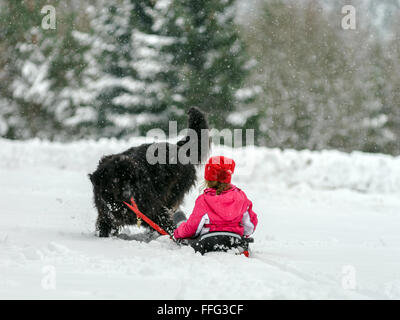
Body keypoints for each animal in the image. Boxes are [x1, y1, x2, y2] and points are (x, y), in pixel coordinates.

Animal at [88, 107, 209, 238]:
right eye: (116, 180)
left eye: (132, 181)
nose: (128, 194)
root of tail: (179, 148)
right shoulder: (106, 215)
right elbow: (104, 227)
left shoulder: (155, 211)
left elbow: (168, 227)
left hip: (174, 192)